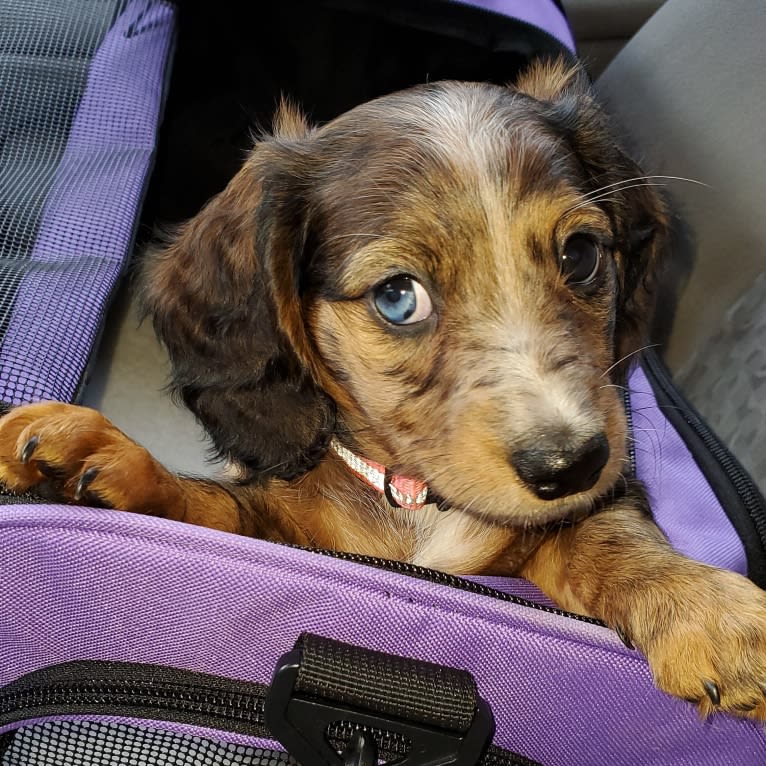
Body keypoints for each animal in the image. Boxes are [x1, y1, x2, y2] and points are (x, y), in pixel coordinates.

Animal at [1, 58, 766, 720]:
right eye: (399, 298)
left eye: (580, 256)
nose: (571, 465)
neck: (416, 497)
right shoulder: (279, 523)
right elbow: (213, 509)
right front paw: (111, 462)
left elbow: (607, 533)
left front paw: (707, 609)